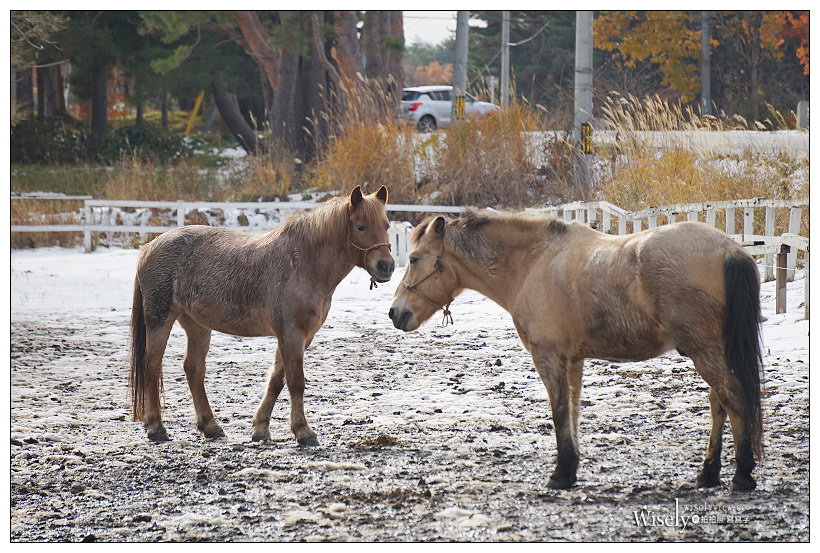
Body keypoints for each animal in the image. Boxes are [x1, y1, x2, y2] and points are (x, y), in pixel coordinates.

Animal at [129, 185, 394, 444]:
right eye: (360, 226)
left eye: (386, 225)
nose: (386, 266)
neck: (302, 265)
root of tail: (150, 246)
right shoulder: (291, 334)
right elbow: (295, 382)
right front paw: (303, 431)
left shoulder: (302, 337)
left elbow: (276, 380)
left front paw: (261, 428)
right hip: (160, 319)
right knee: (152, 365)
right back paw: (156, 427)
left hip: (197, 325)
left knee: (193, 369)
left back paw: (210, 425)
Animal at [389, 212, 763, 491]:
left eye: (415, 259)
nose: (396, 313)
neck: (532, 262)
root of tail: (729, 249)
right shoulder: (574, 360)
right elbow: (573, 410)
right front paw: (571, 469)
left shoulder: (549, 356)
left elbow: (559, 411)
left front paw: (562, 473)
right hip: (712, 352)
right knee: (719, 405)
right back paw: (708, 473)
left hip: (706, 352)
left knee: (733, 400)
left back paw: (742, 474)